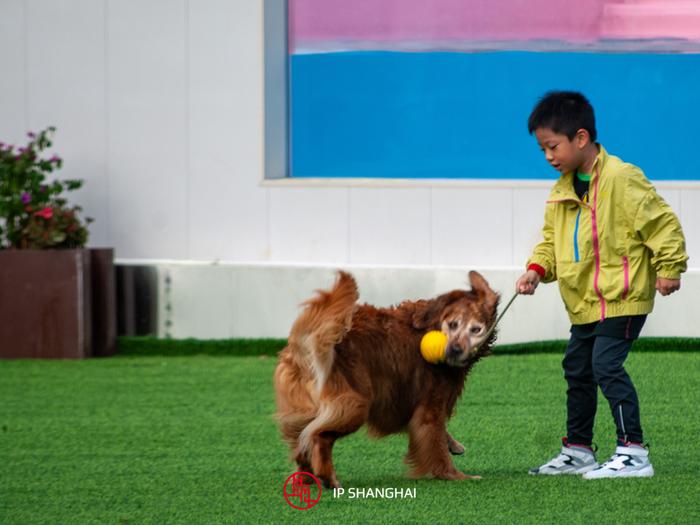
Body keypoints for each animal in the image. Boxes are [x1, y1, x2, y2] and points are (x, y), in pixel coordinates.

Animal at [274, 270, 498, 488]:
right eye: (453, 324)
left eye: (476, 329)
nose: (454, 350)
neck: (432, 324)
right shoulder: (430, 406)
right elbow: (436, 444)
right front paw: (455, 475)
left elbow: (439, 433)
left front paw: (454, 445)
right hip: (354, 405)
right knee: (319, 436)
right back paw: (328, 478)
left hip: (305, 407)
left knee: (302, 440)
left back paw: (305, 476)